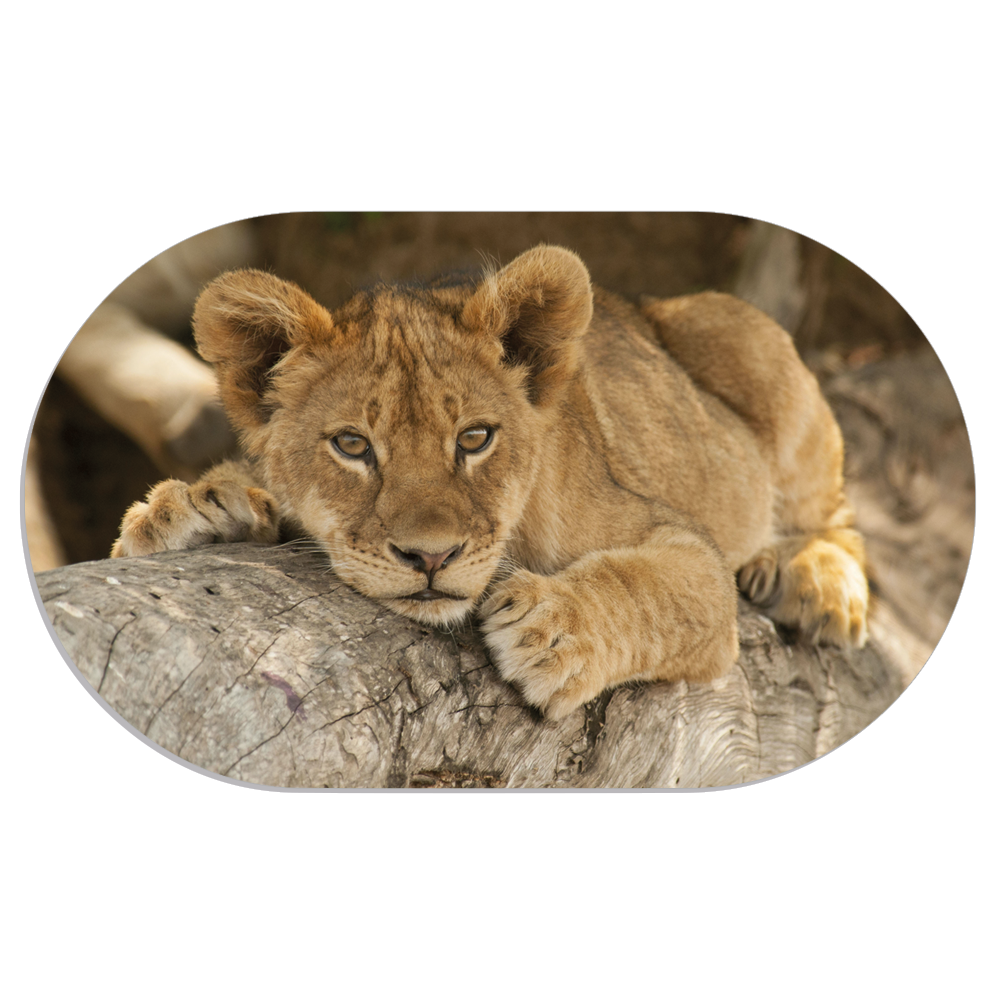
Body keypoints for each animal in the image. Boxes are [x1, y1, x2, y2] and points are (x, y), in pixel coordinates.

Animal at [111, 245, 869, 720]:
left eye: (474, 439)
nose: (431, 557)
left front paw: (551, 630)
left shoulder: (687, 548)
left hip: (750, 344)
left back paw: (818, 581)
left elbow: (649, 588)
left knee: (840, 517)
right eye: (353, 445)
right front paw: (188, 509)